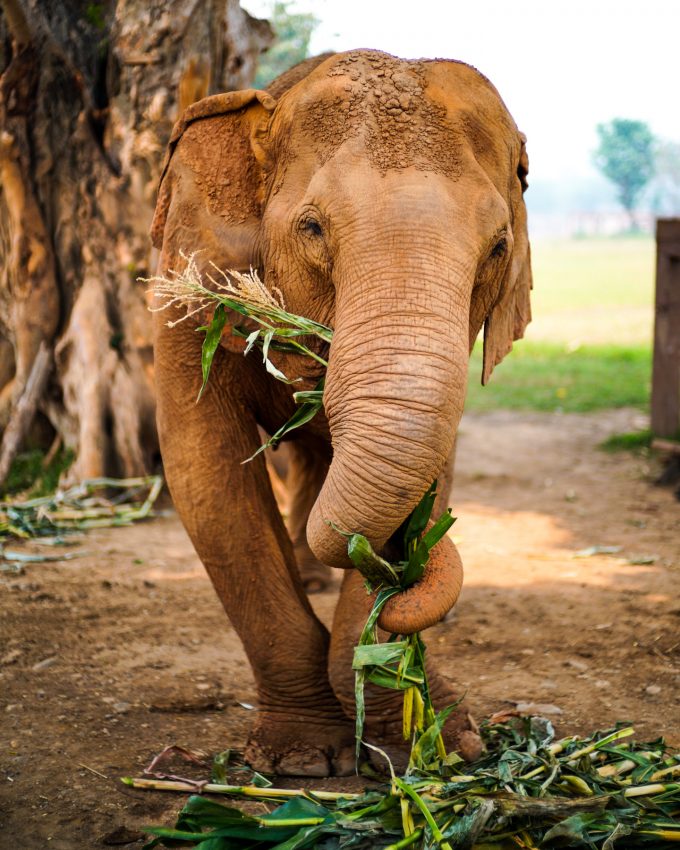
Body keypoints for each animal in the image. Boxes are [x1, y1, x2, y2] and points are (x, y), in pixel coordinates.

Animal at [149, 48, 532, 776]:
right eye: (312, 228)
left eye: (498, 246)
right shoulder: (184, 293)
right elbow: (206, 472)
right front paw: (300, 762)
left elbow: (430, 460)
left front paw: (431, 741)